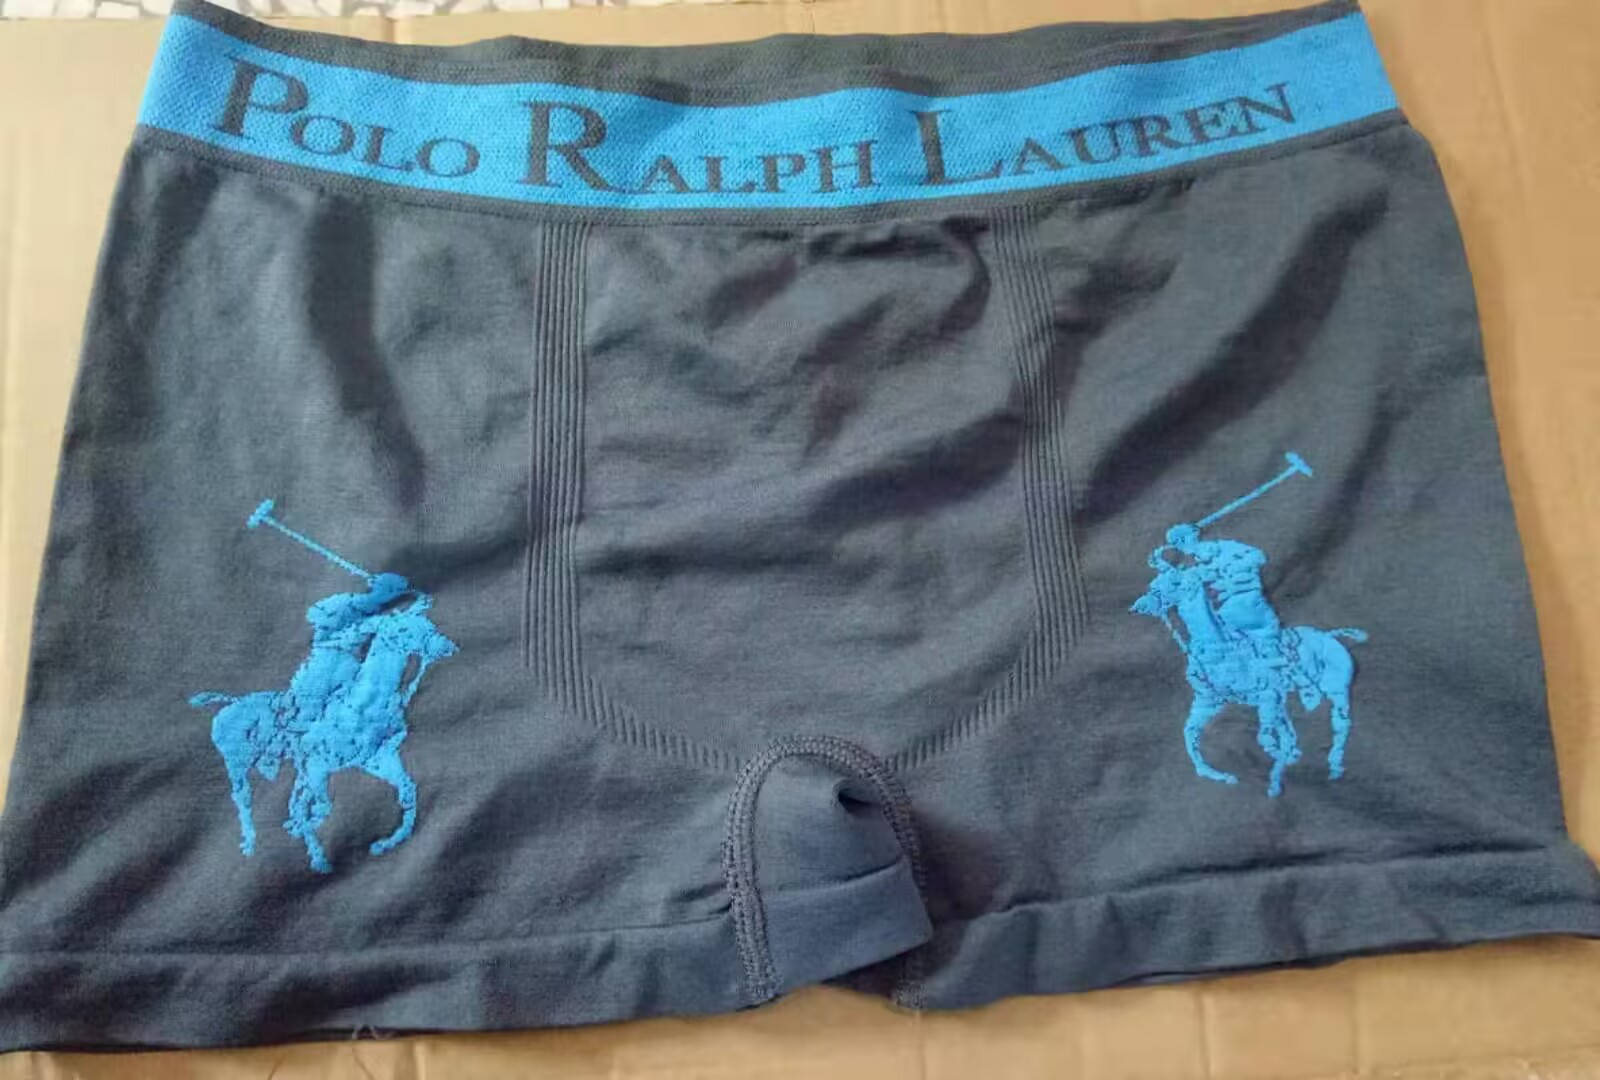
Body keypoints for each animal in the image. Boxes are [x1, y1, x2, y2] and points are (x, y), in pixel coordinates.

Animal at [190, 594, 457, 872]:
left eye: (426, 622)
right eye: (402, 629)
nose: (445, 646)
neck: (365, 705)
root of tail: (230, 703)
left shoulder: (377, 760)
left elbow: (407, 792)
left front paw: (384, 844)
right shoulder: (316, 766)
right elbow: (316, 808)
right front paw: (316, 855)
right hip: (237, 764)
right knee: (243, 798)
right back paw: (250, 843)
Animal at [1131, 559, 1365, 797]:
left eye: (1176, 582)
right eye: (1155, 581)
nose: (1140, 606)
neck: (1218, 646)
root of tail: (1330, 637)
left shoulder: (1267, 697)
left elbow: (1269, 740)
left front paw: (1275, 781)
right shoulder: (1209, 702)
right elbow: (1190, 734)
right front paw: (1220, 776)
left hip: (1336, 692)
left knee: (1340, 723)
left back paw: (1334, 766)